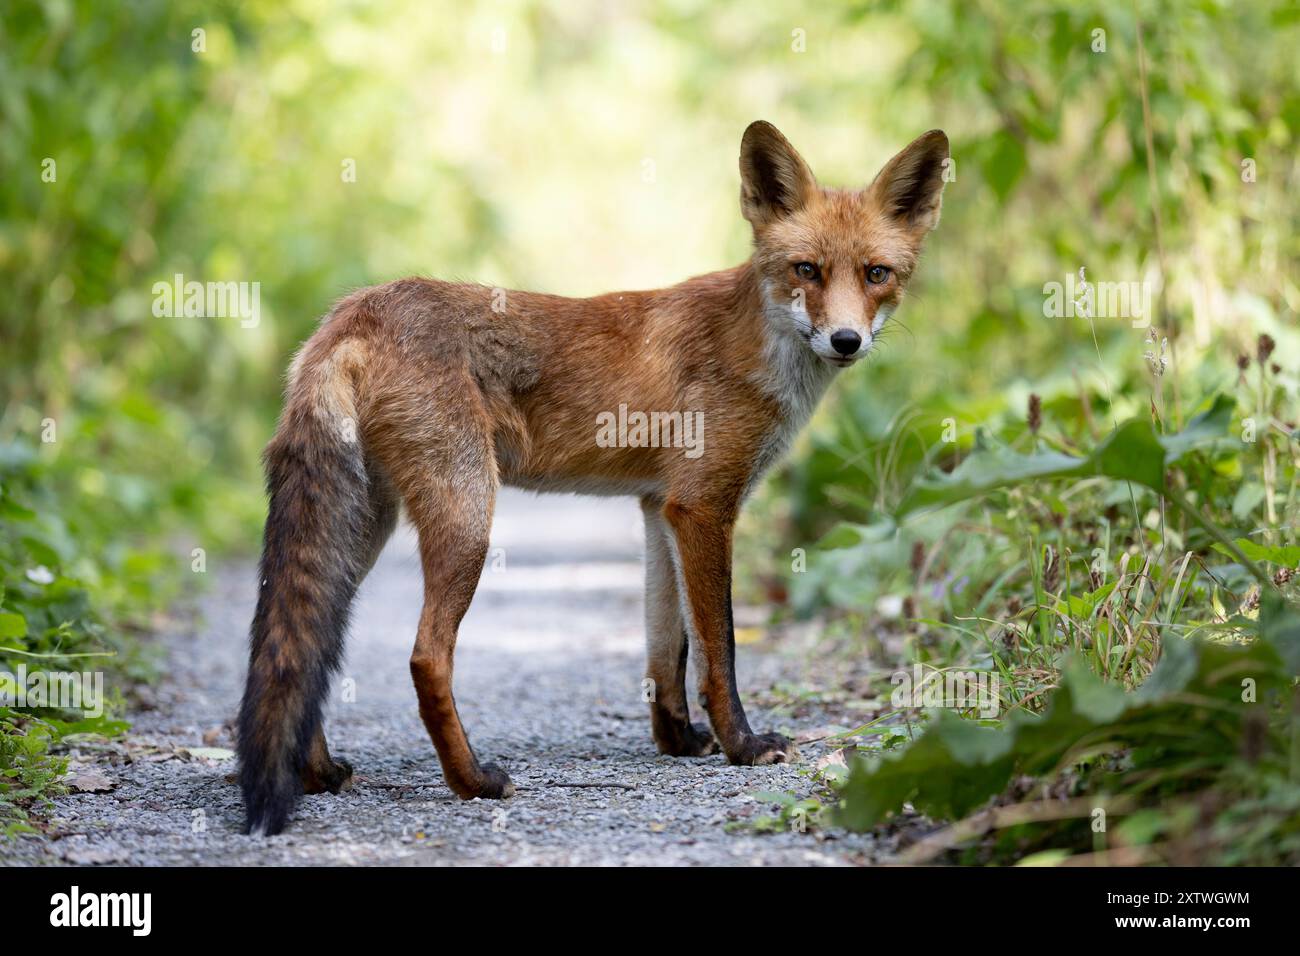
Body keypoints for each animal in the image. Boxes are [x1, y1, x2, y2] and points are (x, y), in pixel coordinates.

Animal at [239, 121, 946, 837]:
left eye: (876, 274)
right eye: (807, 270)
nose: (846, 340)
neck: (757, 346)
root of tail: (352, 311)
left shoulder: (661, 507)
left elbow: (668, 647)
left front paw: (678, 740)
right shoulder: (705, 506)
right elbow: (718, 650)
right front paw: (742, 745)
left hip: (364, 524)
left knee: (308, 643)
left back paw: (317, 771)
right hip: (467, 516)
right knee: (424, 657)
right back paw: (472, 781)